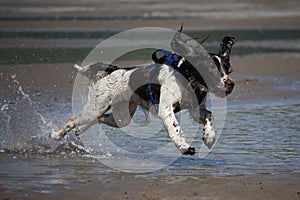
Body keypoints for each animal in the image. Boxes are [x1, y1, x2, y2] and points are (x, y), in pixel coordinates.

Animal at [51, 27, 236, 156]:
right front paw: (185, 147)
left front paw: (209, 137)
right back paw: (57, 134)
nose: (230, 84)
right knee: (74, 119)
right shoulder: (166, 109)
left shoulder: (195, 109)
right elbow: (175, 128)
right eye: (211, 69)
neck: (186, 77)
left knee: (98, 119)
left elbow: (209, 115)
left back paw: (80, 130)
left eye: (228, 70)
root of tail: (113, 70)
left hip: (121, 117)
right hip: (97, 106)